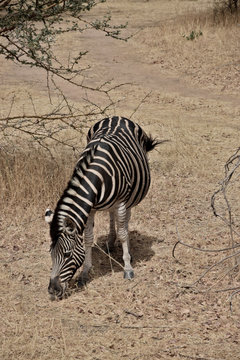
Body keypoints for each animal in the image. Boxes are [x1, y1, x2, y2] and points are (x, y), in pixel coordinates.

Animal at [45, 115, 161, 298]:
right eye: (50, 253)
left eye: (67, 254)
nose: (53, 291)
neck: (96, 175)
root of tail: (117, 116)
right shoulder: (90, 208)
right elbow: (88, 238)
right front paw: (85, 273)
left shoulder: (121, 202)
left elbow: (123, 234)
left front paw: (127, 268)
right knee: (113, 216)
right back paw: (110, 242)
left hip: (130, 197)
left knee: (125, 220)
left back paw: (126, 249)